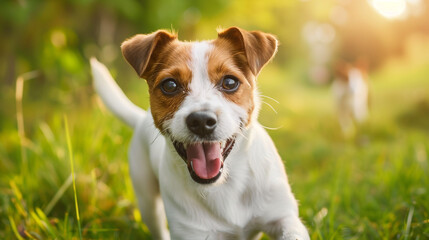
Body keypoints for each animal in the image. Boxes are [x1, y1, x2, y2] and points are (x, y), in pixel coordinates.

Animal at [90, 27, 310, 239]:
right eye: (170, 85)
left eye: (230, 82)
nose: (202, 121)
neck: (226, 185)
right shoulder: (193, 233)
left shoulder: (283, 217)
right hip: (147, 203)